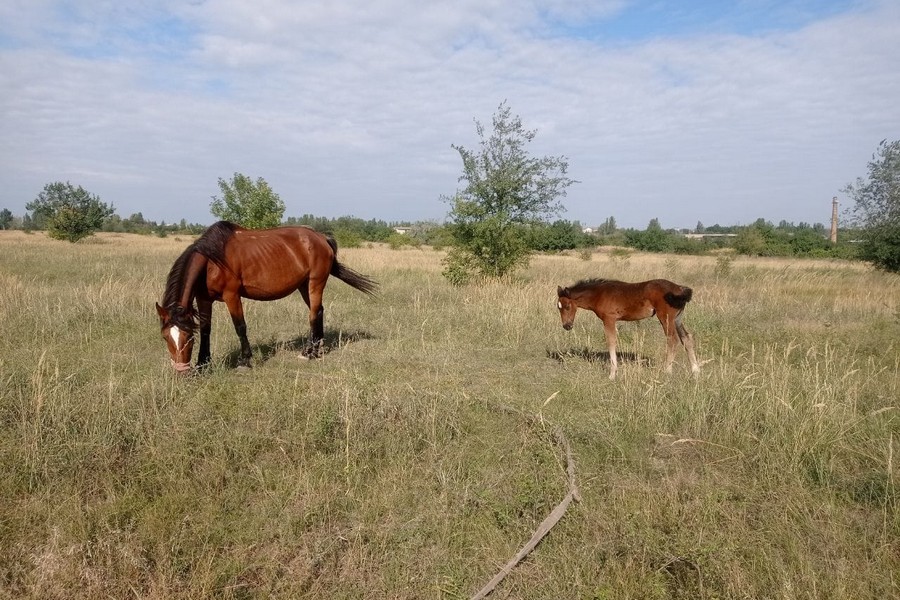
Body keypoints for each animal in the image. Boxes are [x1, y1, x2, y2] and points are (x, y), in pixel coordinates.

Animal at [156, 221, 378, 370]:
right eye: (166, 337)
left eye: (187, 338)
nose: (181, 372)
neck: (212, 261)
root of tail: (322, 238)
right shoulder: (204, 299)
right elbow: (205, 330)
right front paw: (203, 363)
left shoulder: (231, 295)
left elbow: (240, 327)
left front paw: (245, 361)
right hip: (304, 285)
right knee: (319, 311)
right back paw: (317, 349)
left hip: (315, 282)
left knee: (314, 314)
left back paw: (308, 353)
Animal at [556, 278, 704, 380]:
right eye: (558, 308)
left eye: (567, 306)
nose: (567, 326)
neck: (599, 294)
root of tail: (680, 289)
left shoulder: (609, 319)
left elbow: (611, 342)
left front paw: (612, 374)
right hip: (677, 319)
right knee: (687, 338)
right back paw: (696, 372)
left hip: (666, 318)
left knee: (673, 340)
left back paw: (667, 372)